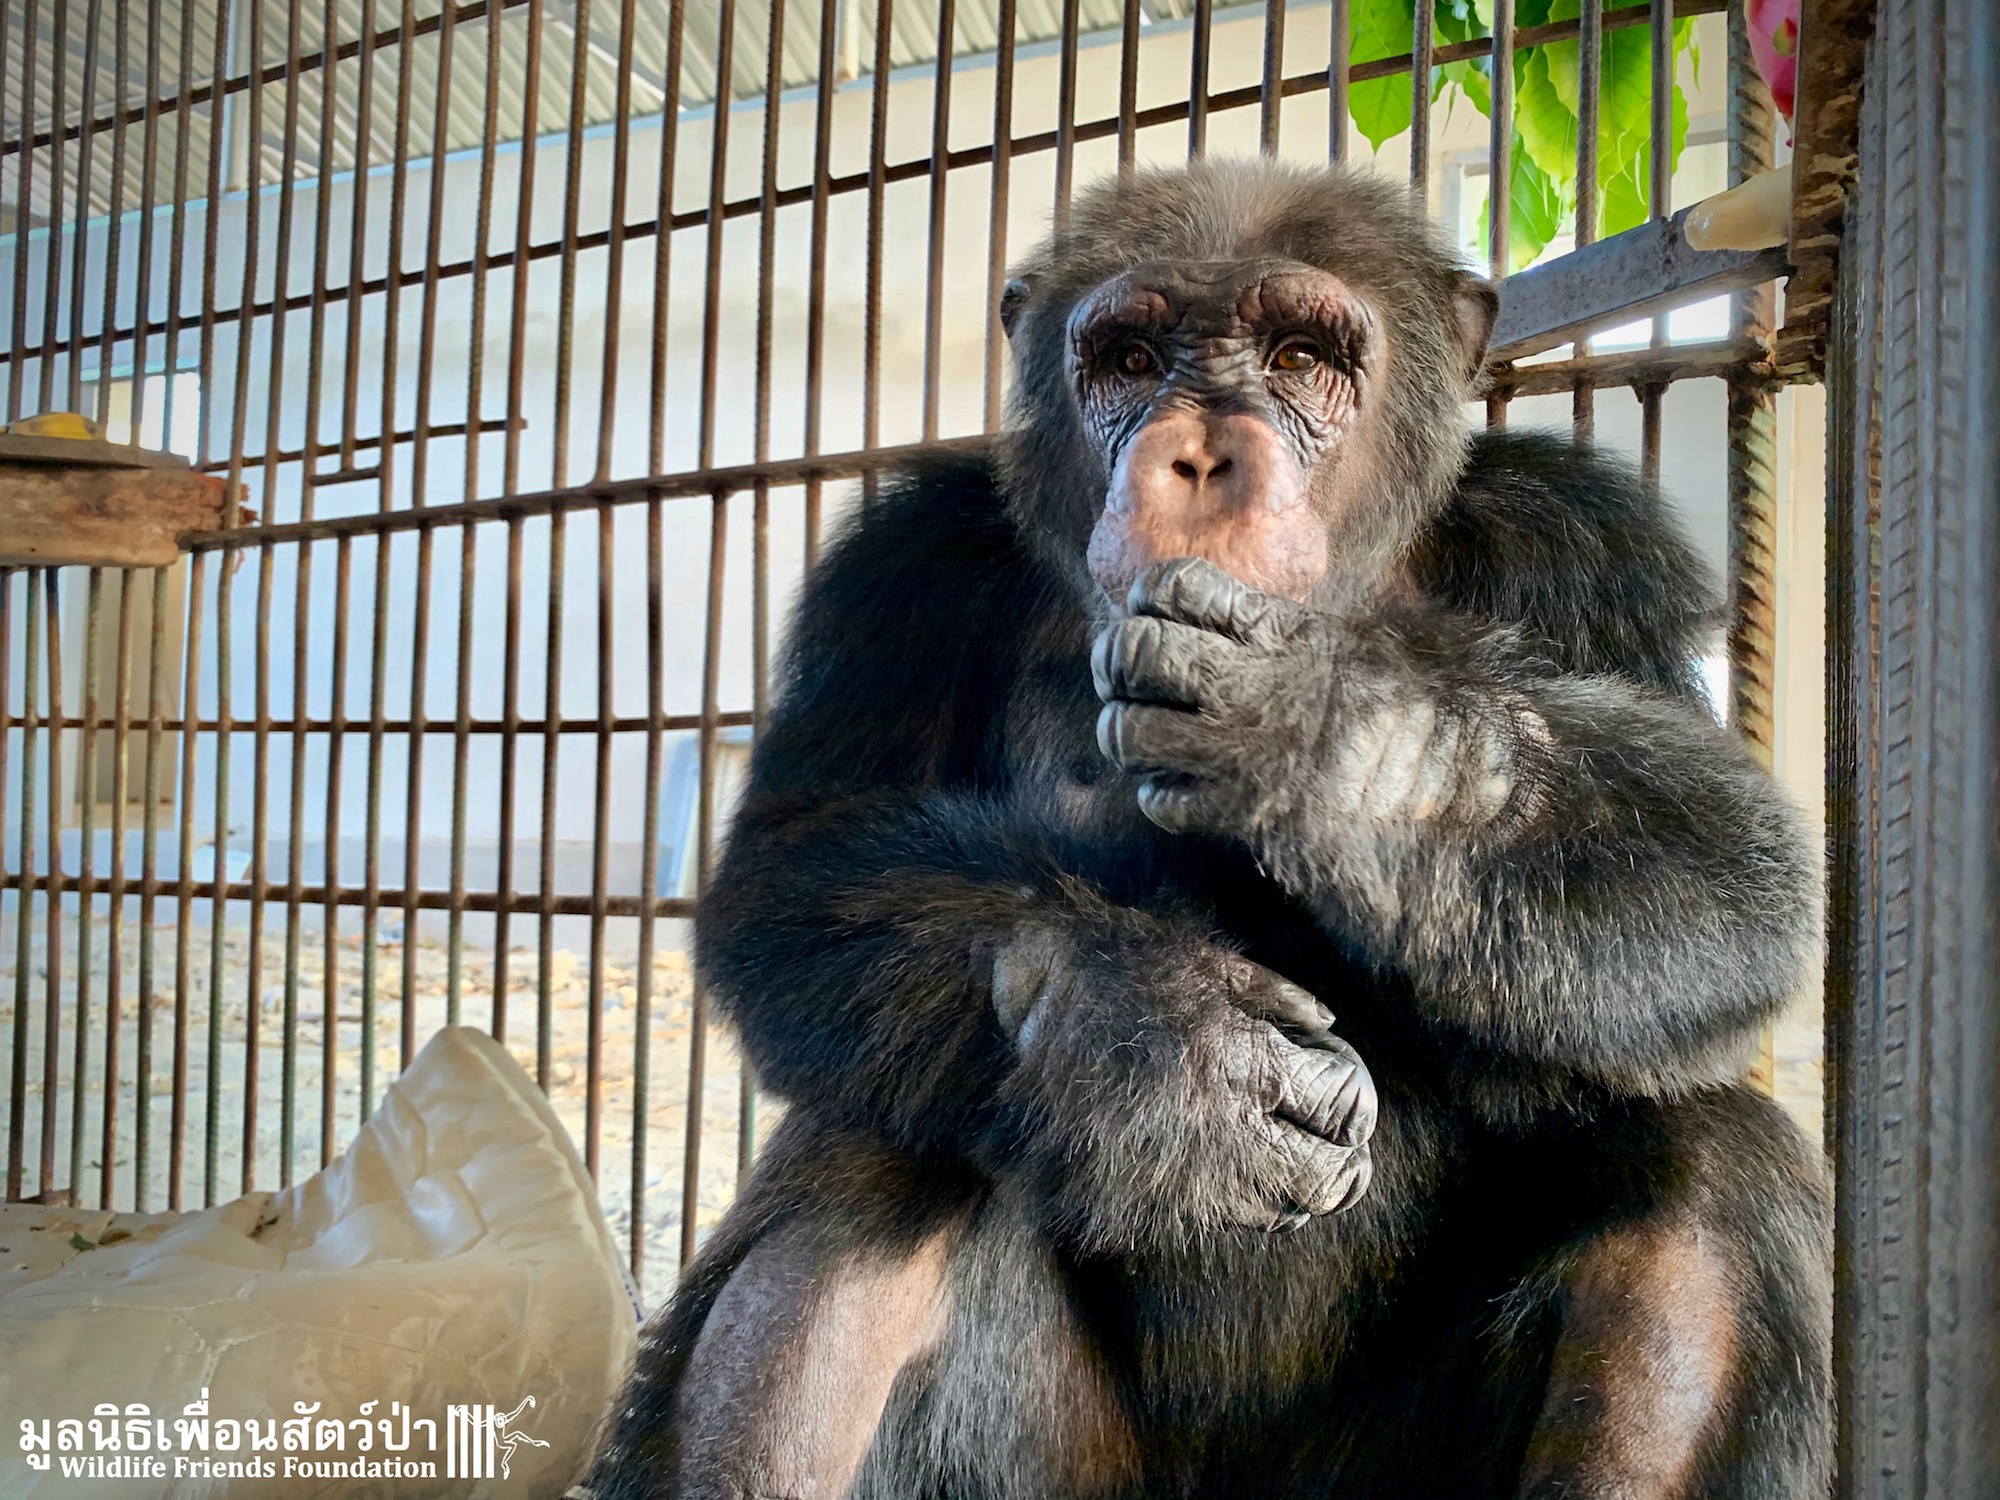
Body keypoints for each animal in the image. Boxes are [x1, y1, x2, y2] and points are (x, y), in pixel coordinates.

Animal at [577, 158, 1831, 1500]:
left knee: (1708, 1175)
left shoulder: (1580, 539)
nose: (1199, 454)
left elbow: (1732, 874)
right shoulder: (905, 569)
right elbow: (793, 862)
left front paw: (1329, 729)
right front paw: (1157, 1049)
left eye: (1297, 356)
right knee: (865, 1179)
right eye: (1130, 359)